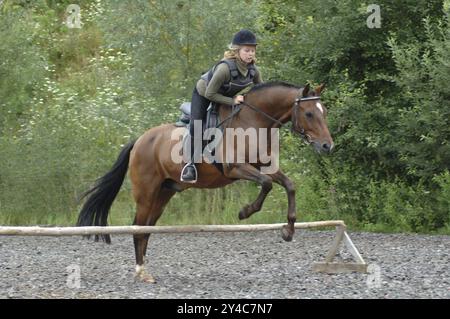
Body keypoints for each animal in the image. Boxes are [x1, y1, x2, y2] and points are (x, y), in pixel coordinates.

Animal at [75, 81, 332, 284]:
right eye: (309, 114)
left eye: (324, 112)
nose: (327, 146)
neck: (254, 121)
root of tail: (139, 140)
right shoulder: (235, 168)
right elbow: (267, 183)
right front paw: (245, 212)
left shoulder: (265, 165)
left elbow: (289, 185)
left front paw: (288, 230)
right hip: (146, 194)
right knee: (138, 228)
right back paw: (141, 272)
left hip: (163, 194)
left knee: (147, 229)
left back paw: (145, 269)